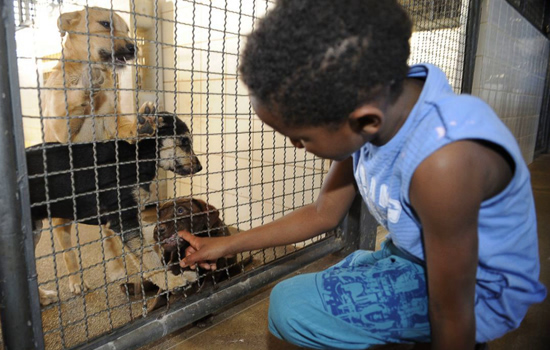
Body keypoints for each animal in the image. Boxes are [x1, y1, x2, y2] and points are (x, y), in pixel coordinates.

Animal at [38, 6, 160, 304]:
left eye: (128, 30)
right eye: (105, 24)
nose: (133, 48)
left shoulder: (114, 123)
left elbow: (126, 126)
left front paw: (142, 123)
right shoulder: (62, 128)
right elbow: (71, 105)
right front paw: (85, 86)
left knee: (110, 237)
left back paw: (116, 267)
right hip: (60, 223)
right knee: (68, 253)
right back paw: (74, 283)